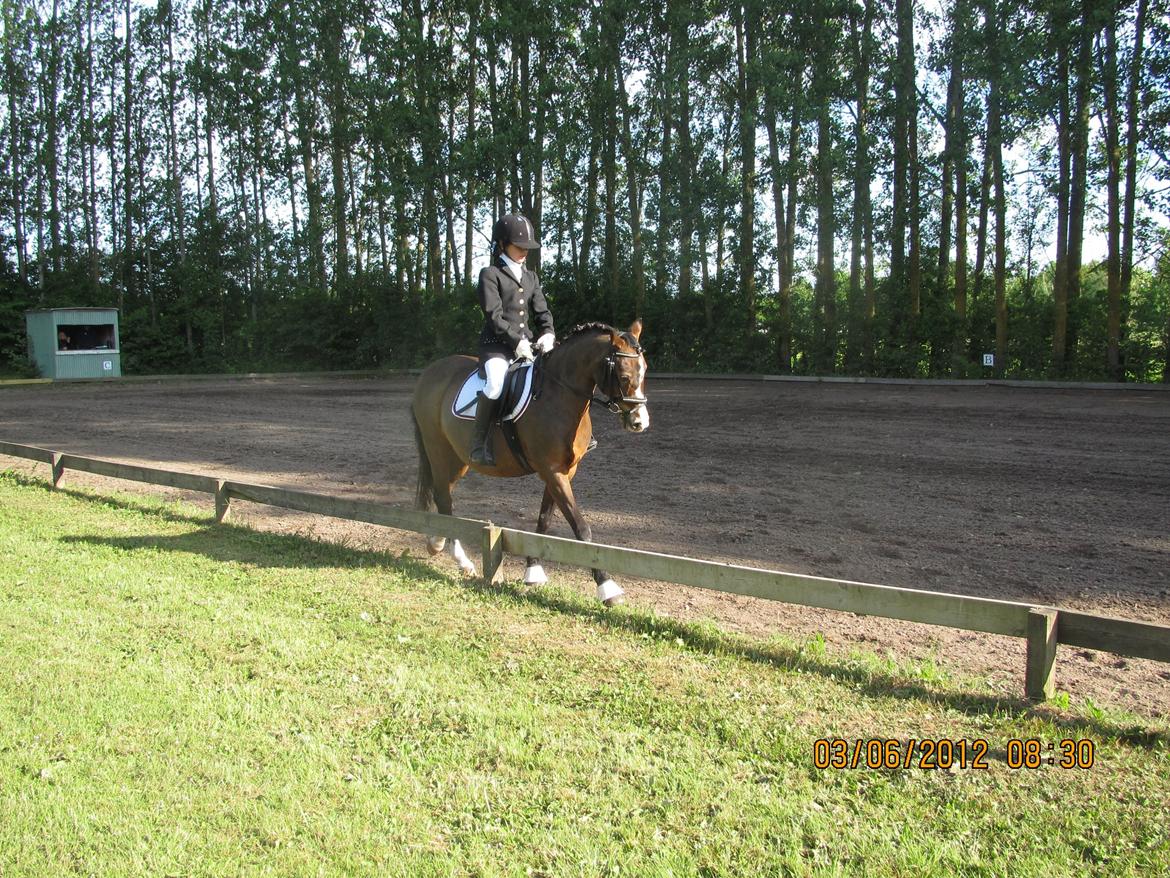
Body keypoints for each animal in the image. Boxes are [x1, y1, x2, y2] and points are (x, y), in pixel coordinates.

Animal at [411, 320, 650, 608]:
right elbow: (582, 529)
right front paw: (607, 587)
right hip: (438, 449)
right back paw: (461, 560)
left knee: (441, 492)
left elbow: (544, 522)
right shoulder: (551, 470)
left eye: (644, 371)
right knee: (444, 498)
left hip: (457, 459)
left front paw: (533, 571)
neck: (558, 395)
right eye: (624, 376)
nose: (639, 422)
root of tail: (430, 373)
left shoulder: (563, 471)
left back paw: (436, 541)